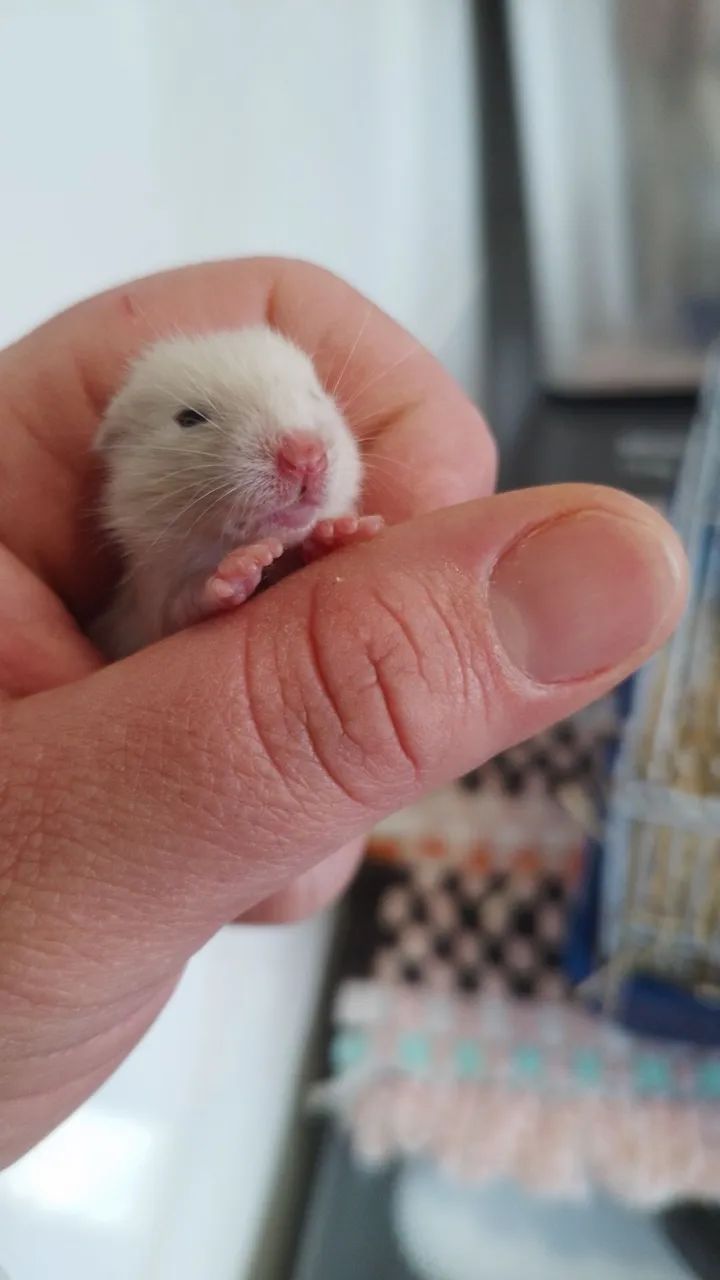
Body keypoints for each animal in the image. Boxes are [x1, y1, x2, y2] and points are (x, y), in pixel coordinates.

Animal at [92, 325, 384, 659]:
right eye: (189, 418)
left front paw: (342, 530)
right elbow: (181, 608)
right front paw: (240, 567)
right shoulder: (144, 611)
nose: (306, 457)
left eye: (315, 396)